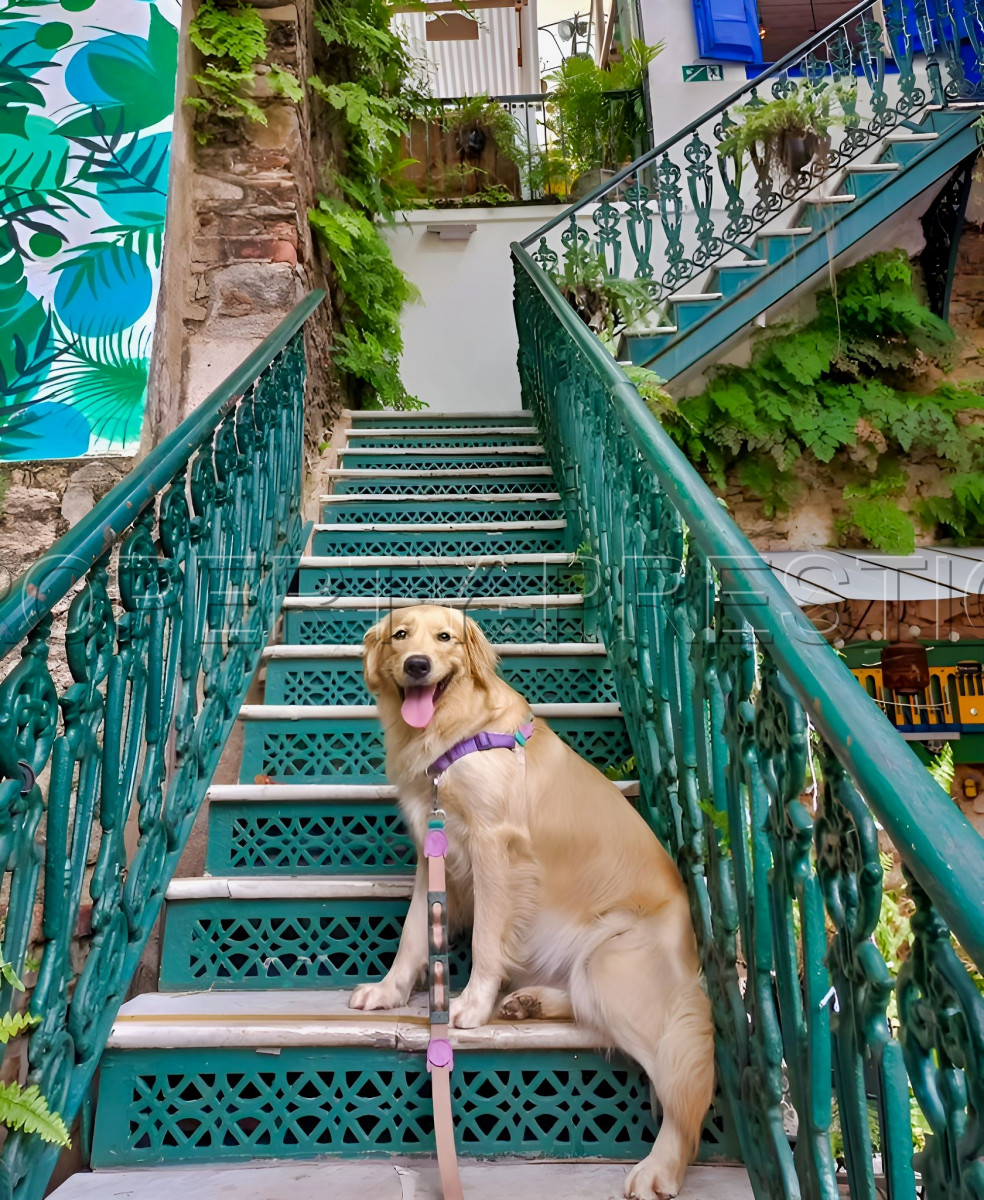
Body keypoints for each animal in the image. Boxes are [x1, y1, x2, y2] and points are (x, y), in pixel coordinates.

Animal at [350, 609, 710, 1200]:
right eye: (401, 636)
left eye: (445, 638)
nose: (418, 665)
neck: (455, 734)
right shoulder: (433, 848)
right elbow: (411, 936)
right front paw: (389, 990)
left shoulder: (495, 846)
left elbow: (486, 938)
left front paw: (471, 1004)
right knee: (588, 1012)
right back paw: (530, 1003)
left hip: (613, 963)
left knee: (683, 1085)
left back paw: (660, 1166)